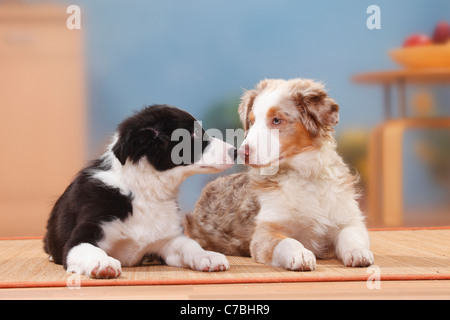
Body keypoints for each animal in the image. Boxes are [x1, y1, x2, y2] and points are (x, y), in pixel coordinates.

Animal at [44, 104, 236, 278]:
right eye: (192, 134)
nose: (235, 151)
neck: (145, 191)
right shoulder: (81, 237)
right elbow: (89, 249)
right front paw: (103, 262)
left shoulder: (169, 240)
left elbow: (190, 245)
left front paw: (207, 255)